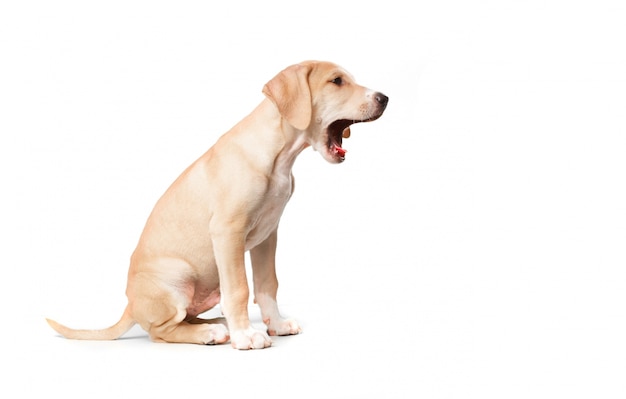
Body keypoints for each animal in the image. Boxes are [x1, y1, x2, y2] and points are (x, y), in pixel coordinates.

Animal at [48, 60, 388, 350]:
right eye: (337, 81)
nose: (384, 97)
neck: (280, 156)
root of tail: (130, 306)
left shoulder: (268, 235)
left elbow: (267, 283)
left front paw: (275, 324)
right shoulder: (228, 232)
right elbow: (239, 288)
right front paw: (246, 336)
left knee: (186, 317)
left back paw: (216, 323)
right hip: (176, 277)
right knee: (161, 331)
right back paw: (210, 332)